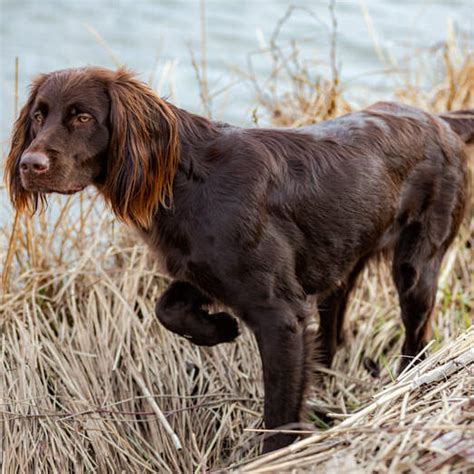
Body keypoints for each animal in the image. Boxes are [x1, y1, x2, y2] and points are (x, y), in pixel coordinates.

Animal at [5, 68, 472, 454]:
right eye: (38, 116)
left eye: (82, 118)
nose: (30, 164)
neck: (187, 180)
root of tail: (441, 121)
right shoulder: (201, 271)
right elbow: (166, 308)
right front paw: (218, 328)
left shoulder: (280, 316)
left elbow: (279, 417)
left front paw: (274, 457)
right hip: (342, 262)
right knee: (333, 327)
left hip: (416, 267)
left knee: (416, 336)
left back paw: (405, 380)